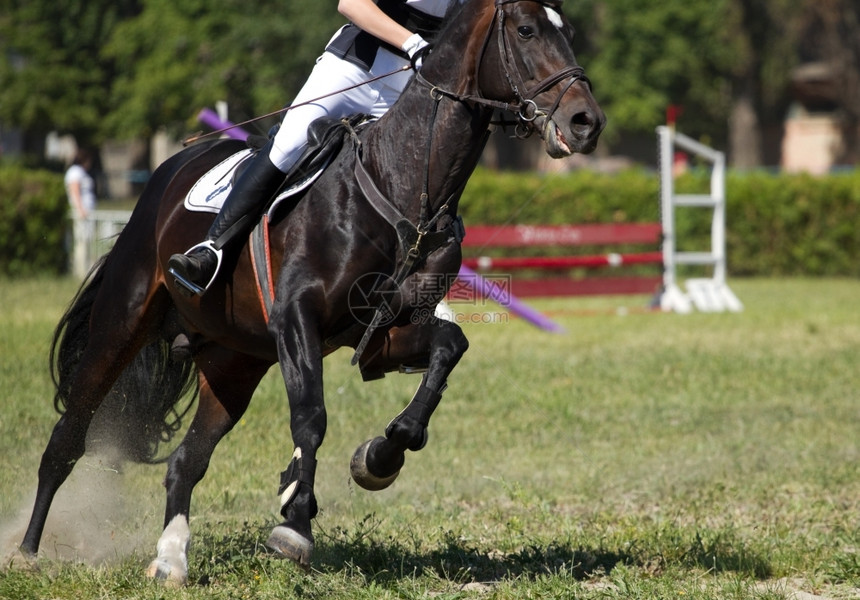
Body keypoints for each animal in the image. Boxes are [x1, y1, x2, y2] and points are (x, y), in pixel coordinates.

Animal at [16, 0, 600, 584]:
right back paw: (26, 551)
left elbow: (449, 349)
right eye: (526, 30)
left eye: (567, 30)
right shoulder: (297, 318)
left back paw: (171, 558)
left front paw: (379, 458)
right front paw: (295, 522)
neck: (402, 183)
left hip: (234, 360)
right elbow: (311, 417)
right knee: (68, 437)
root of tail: (167, 173)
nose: (587, 123)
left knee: (187, 460)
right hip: (123, 323)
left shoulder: (382, 335)